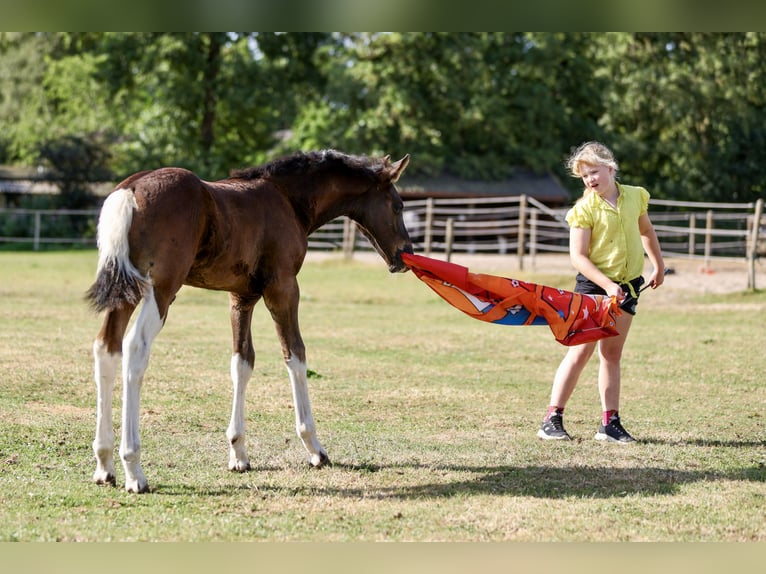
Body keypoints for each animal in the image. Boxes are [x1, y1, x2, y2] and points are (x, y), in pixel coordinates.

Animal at [86, 150, 413, 493]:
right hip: (161, 289)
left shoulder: (241, 298)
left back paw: (105, 464)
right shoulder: (283, 287)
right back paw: (134, 469)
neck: (285, 197)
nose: (404, 254)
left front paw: (239, 454)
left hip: (126, 290)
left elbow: (242, 362)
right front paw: (315, 448)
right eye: (397, 205)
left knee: (106, 348)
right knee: (135, 349)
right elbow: (295, 354)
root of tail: (130, 190)